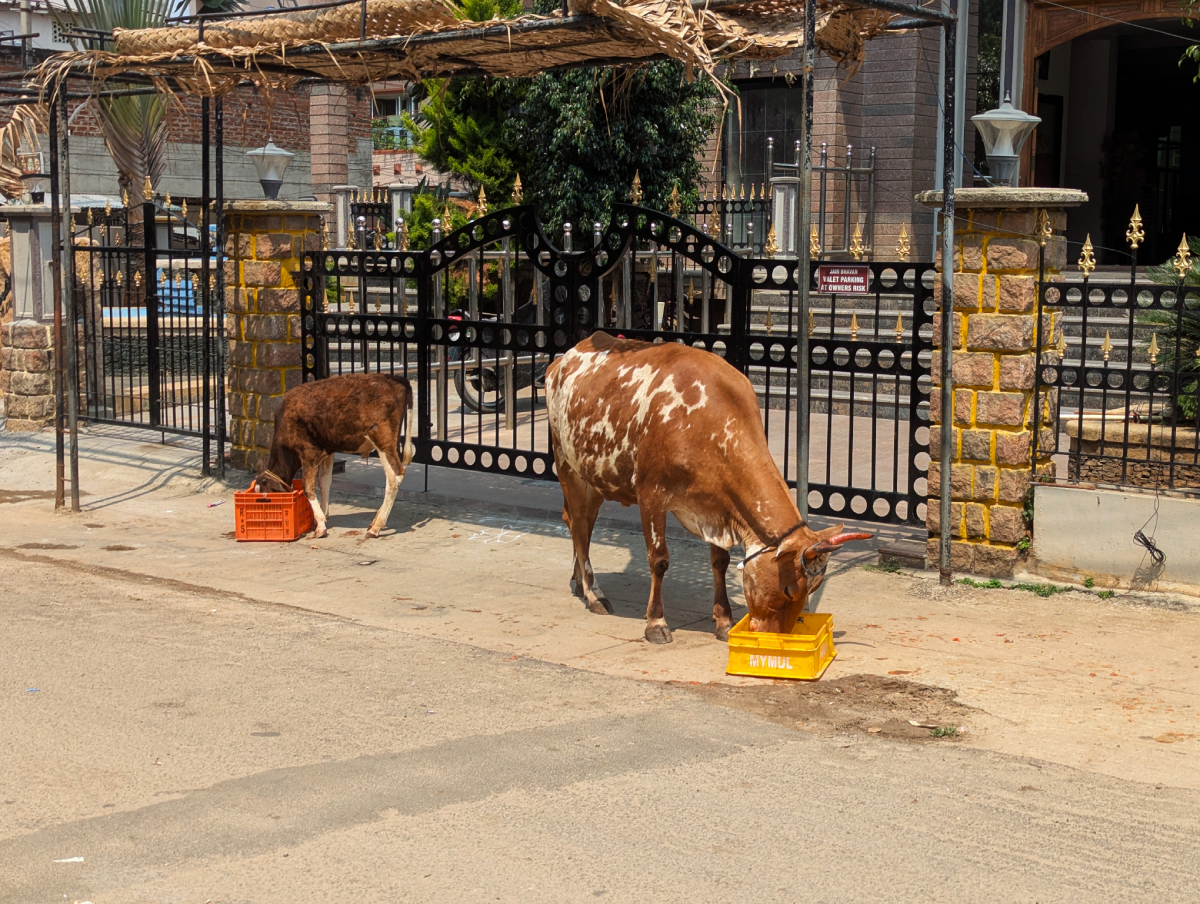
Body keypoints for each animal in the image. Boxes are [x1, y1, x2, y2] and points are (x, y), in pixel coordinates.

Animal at [255, 372, 415, 539]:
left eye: (269, 499)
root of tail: (395, 378)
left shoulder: (308, 452)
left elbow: (308, 487)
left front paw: (320, 526)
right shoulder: (327, 452)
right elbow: (324, 482)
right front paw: (323, 517)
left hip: (382, 440)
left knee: (394, 477)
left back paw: (376, 527)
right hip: (392, 443)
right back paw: (375, 521)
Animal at [545, 332, 871, 644]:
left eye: (812, 592)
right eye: (790, 589)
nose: (773, 635)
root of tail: (562, 359)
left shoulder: (717, 507)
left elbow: (720, 561)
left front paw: (724, 621)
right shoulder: (651, 495)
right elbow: (659, 560)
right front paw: (656, 623)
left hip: (595, 477)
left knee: (582, 524)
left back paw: (578, 582)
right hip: (566, 463)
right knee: (578, 525)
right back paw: (593, 593)